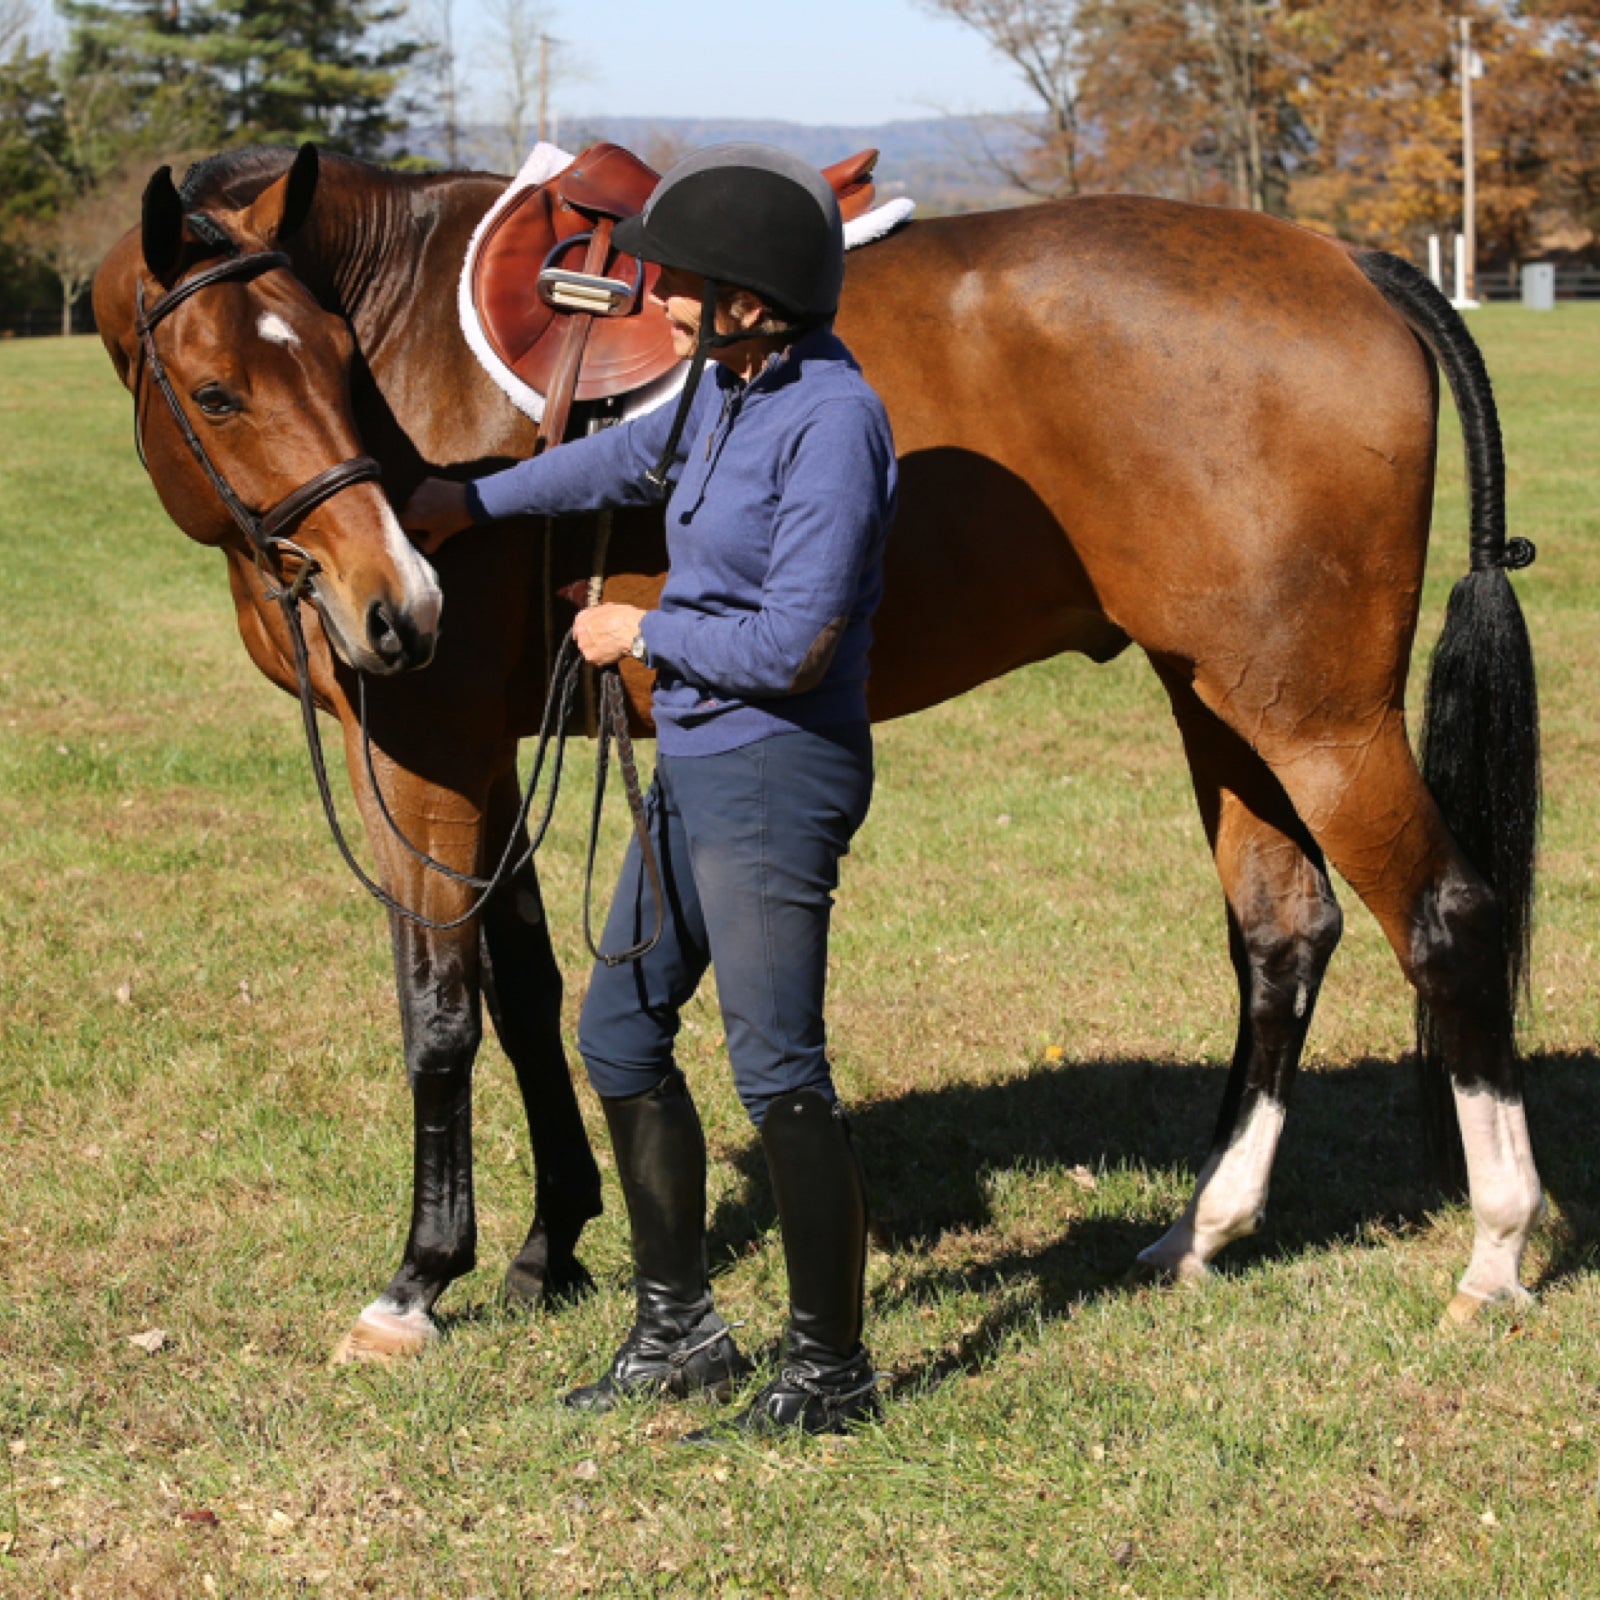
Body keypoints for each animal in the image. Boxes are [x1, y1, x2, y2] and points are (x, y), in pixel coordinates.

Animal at [90, 144, 1536, 1363]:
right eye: (223, 388)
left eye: (339, 369)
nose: (399, 602)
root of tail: (1343, 260)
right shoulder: (487, 754)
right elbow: (524, 992)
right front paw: (552, 1244)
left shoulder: (423, 743)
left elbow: (439, 1009)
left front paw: (417, 1280)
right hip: (1224, 702)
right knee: (1284, 933)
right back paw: (1204, 1229)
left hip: (1319, 720)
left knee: (1448, 922)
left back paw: (1496, 1250)